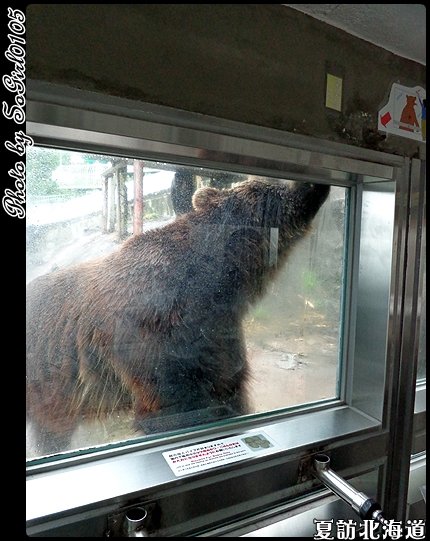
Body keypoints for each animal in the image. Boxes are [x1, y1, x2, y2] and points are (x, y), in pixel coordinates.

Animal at [26, 179, 330, 454]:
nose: (313, 185)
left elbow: (227, 386)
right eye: (275, 188)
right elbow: (173, 405)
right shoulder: (155, 336)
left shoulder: (218, 332)